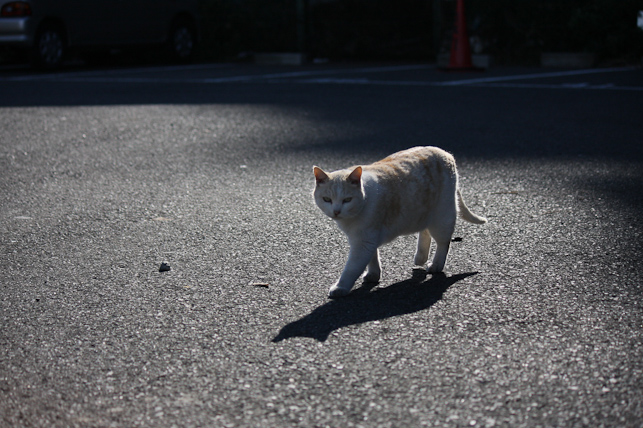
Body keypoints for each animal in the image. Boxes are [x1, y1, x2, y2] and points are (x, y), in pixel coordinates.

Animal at [314, 146, 488, 298]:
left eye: (347, 200)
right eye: (327, 199)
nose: (336, 211)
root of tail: (445, 153)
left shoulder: (363, 242)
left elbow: (351, 269)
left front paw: (340, 288)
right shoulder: (366, 238)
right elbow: (372, 258)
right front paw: (373, 275)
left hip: (442, 217)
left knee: (443, 243)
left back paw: (435, 265)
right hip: (424, 213)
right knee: (425, 232)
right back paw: (420, 258)